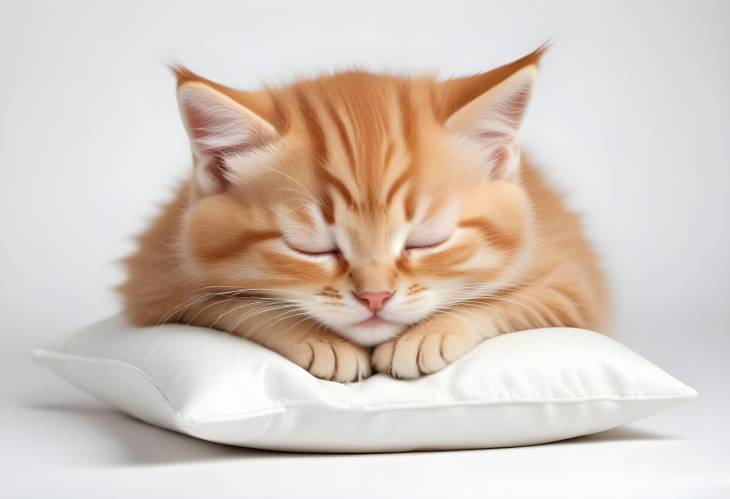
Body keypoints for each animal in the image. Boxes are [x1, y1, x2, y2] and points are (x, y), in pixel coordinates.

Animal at [119, 47, 604, 382]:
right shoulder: (157, 286)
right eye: (311, 248)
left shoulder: (572, 286)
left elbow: (507, 301)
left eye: (426, 240)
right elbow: (237, 306)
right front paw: (318, 340)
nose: (375, 297)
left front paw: (430, 334)